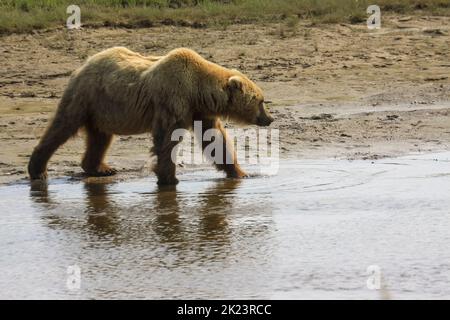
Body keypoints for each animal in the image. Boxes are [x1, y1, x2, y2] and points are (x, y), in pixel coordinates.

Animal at [29, 46, 274, 184]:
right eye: (261, 101)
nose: (269, 119)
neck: (198, 90)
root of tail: (83, 65)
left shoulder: (201, 112)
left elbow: (215, 140)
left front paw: (241, 173)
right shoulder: (173, 99)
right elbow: (167, 138)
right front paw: (169, 178)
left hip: (103, 110)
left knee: (100, 137)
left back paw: (101, 168)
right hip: (87, 97)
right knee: (63, 126)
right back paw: (37, 170)